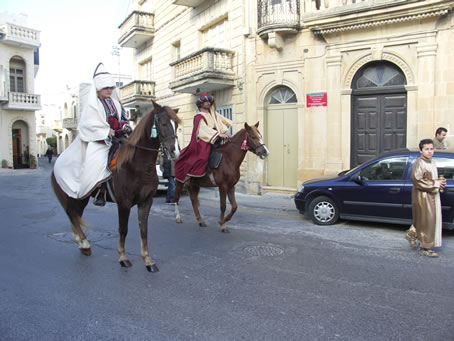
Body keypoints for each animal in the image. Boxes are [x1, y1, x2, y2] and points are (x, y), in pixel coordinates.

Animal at [51, 100, 181, 270]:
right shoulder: (124, 203)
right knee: (72, 215)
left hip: (82, 199)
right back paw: (85, 243)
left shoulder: (146, 201)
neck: (137, 165)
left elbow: (143, 229)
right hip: (72, 196)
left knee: (75, 216)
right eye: (164, 123)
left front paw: (148, 260)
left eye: (177, 125)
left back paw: (81, 243)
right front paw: (123, 257)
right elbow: (123, 230)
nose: (175, 152)